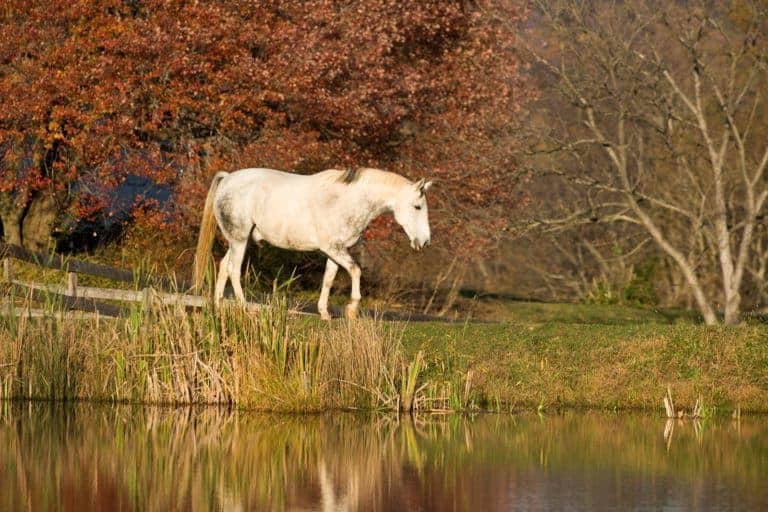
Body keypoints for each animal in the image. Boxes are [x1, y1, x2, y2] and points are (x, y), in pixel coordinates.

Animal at [192, 167, 433, 320]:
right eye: (417, 207)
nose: (425, 241)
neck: (347, 200)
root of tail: (228, 178)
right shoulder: (334, 249)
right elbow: (356, 270)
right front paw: (352, 309)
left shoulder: (335, 252)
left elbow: (328, 280)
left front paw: (324, 313)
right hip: (240, 240)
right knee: (234, 270)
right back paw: (243, 307)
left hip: (239, 241)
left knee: (224, 266)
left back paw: (218, 307)